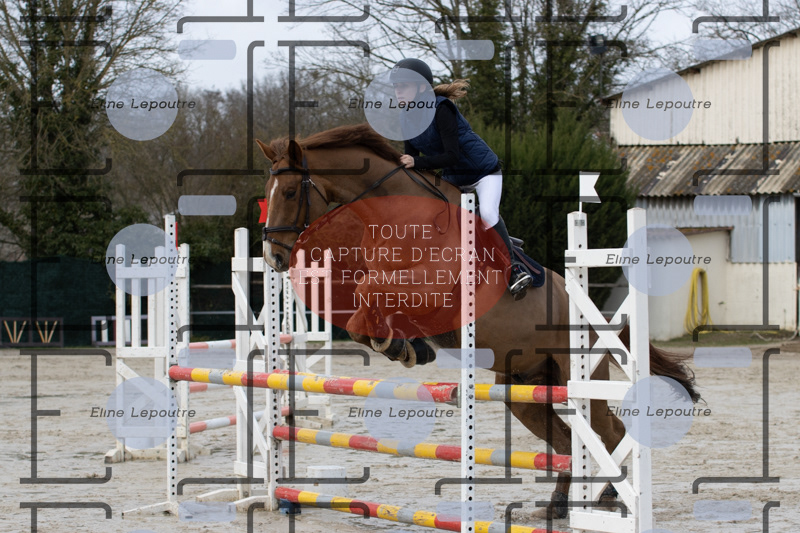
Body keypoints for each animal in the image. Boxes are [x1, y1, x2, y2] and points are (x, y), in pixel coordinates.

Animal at [255, 122, 700, 520]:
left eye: (290, 191)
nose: (273, 257)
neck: (398, 216)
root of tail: (596, 314)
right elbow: (361, 316)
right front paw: (406, 347)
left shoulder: (429, 286)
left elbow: (368, 292)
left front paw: (402, 345)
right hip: (525, 392)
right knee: (566, 442)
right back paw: (558, 505)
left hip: (579, 376)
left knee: (610, 432)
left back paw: (608, 496)